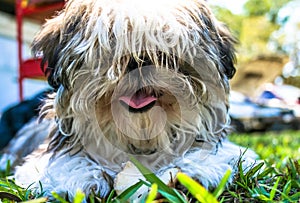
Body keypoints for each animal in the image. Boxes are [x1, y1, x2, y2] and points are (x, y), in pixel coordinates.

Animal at [12, 0, 258, 201]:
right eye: (111, 44)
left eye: (166, 45)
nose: (138, 62)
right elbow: (66, 162)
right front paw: (82, 178)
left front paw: (191, 170)